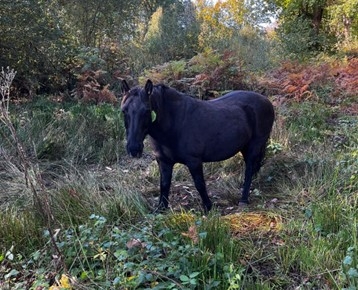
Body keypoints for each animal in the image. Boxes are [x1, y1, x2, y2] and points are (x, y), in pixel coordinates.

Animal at [120, 79, 274, 211]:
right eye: (124, 110)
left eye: (147, 110)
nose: (134, 148)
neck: (175, 124)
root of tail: (266, 101)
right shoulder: (163, 161)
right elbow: (164, 185)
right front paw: (161, 209)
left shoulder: (194, 161)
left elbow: (199, 184)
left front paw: (208, 207)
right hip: (244, 147)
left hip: (254, 146)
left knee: (249, 170)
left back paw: (243, 200)